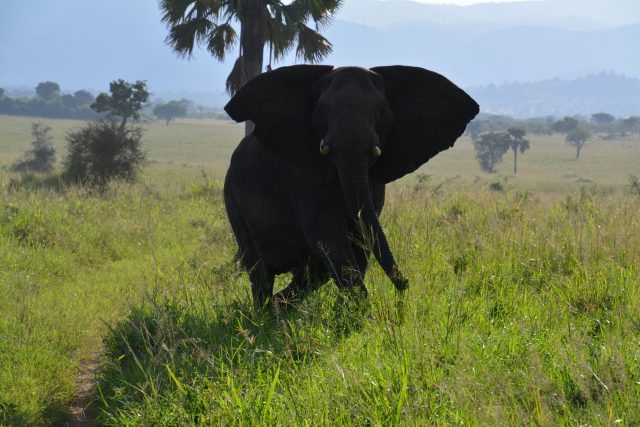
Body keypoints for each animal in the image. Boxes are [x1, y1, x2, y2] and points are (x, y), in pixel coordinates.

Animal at [223, 65, 479, 308]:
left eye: (382, 111)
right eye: (320, 112)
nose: (404, 284)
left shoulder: (373, 183)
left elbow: (361, 237)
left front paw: (350, 313)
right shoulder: (303, 176)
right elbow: (328, 236)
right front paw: (363, 315)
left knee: (312, 271)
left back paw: (278, 308)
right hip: (233, 199)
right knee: (260, 271)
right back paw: (264, 314)